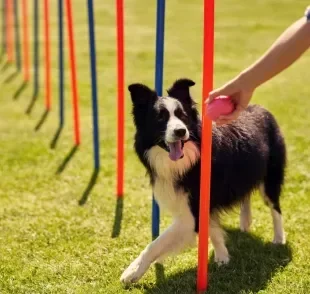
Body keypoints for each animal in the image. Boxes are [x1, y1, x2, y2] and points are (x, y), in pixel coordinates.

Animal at [120, 77, 286, 282]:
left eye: (182, 115)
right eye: (160, 118)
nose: (180, 131)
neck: (187, 161)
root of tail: (262, 108)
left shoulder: (191, 213)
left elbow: (156, 243)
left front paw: (132, 271)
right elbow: (212, 229)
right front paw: (222, 256)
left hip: (271, 176)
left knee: (275, 207)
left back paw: (278, 238)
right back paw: (245, 222)